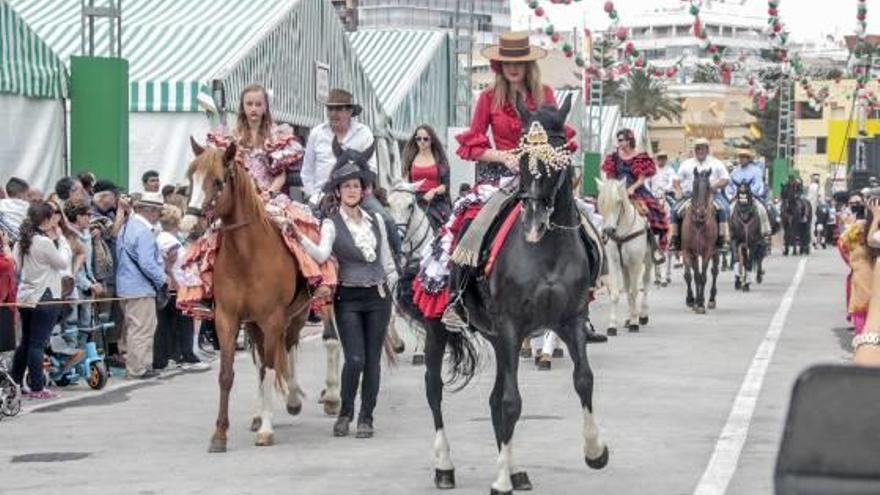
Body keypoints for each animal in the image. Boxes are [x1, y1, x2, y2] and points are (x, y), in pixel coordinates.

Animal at [184, 139, 312, 454]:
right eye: (190, 178)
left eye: (218, 181)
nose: (188, 225)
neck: (247, 256)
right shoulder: (227, 319)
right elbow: (227, 375)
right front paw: (220, 434)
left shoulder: (274, 318)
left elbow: (272, 368)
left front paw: (266, 430)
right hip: (254, 325)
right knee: (261, 361)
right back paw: (260, 413)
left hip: (296, 317)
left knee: (288, 349)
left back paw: (294, 400)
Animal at [596, 180, 648, 336]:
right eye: (601, 201)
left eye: (619, 202)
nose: (608, 230)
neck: (622, 233)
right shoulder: (614, 263)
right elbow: (616, 294)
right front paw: (612, 325)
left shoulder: (636, 263)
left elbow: (634, 292)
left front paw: (635, 322)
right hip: (625, 268)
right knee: (627, 286)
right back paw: (628, 318)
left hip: (647, 262)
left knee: (645, 285)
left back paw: (642, 315)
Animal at [684, 170, 720, 314]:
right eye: (694, 185)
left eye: (709, 186)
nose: (700, 213)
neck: (698, 224)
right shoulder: (689, 252)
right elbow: (692, 276)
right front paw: (693, 301)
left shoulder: (707, 252)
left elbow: (703, 277)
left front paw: (700, 304)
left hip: (716, 252)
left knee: (714, 272)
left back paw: (711, 300)